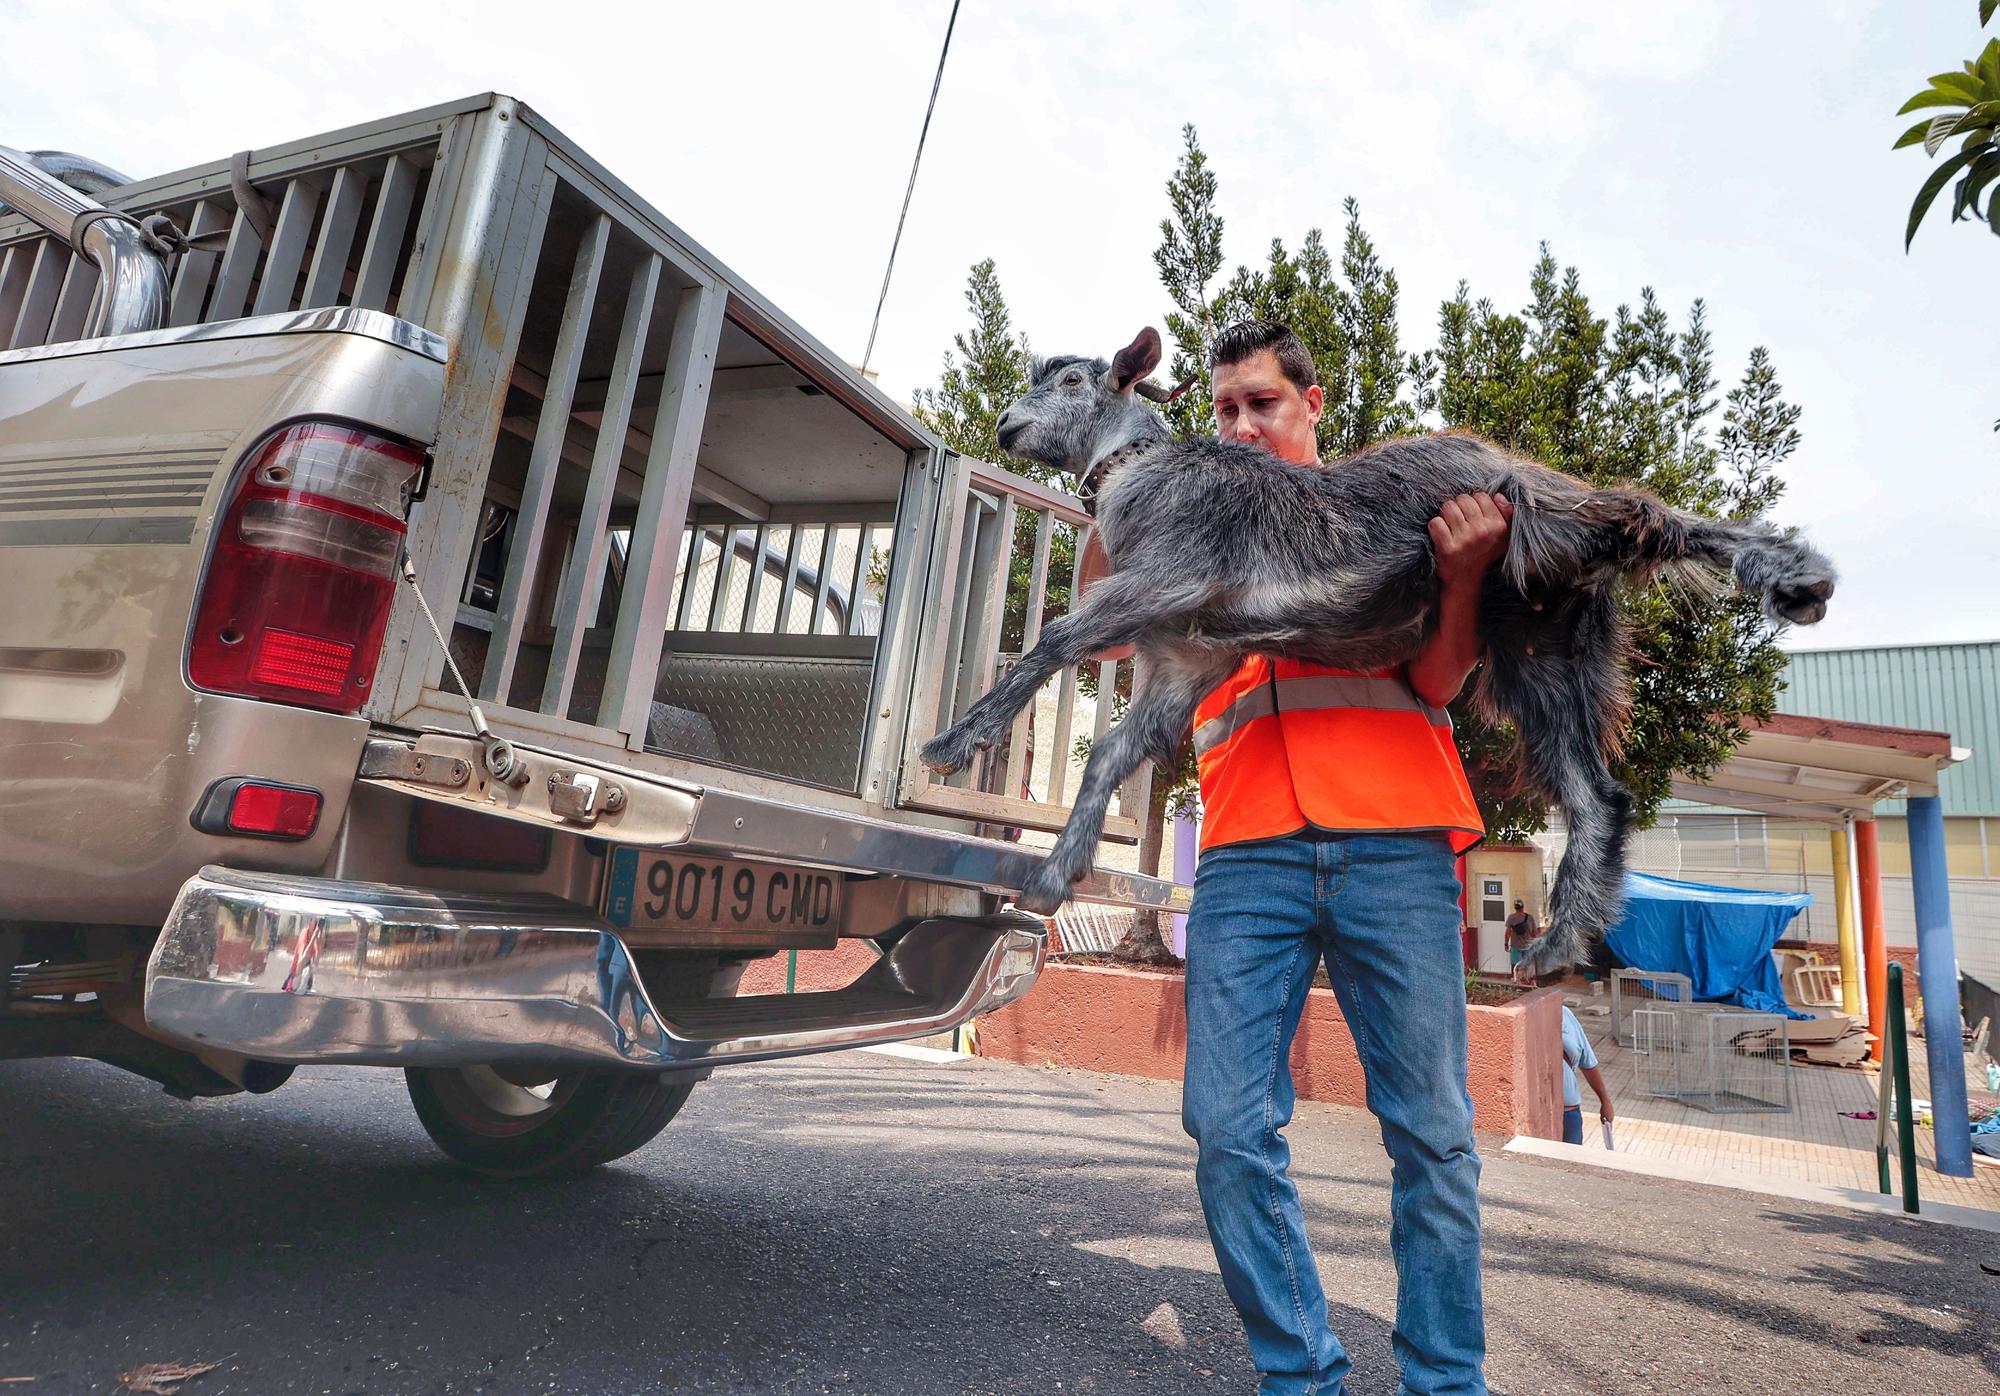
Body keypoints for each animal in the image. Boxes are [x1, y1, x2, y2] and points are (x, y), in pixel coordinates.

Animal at [916, 330, 1832, 972]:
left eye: (1072, 380)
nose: (1007, 423)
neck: (1144, 475)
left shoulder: (1169, 578)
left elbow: (1052, 641)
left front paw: (952, 743)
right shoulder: (1185, 660)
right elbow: (1110, 752)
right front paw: (1053, 873)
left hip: (1549, 526)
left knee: (1643, 513)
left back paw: (1798, 576)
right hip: (1539, 644)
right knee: (1595, 791)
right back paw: (1557, 945)